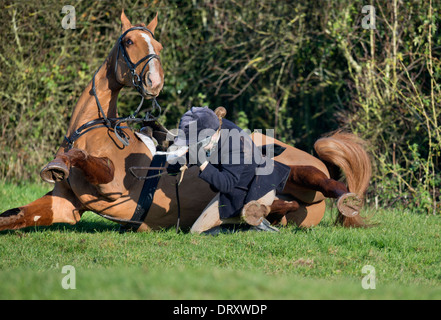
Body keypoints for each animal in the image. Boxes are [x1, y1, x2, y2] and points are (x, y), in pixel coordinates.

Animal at [0, 11, 370, 232]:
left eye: (158, 43)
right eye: (129, 41)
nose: (154, 82)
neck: (94, 130)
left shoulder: (111, 184)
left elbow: (81, 159)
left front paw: (58, 163)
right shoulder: (65, 205)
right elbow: (14, 216)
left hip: (293, 170)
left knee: (324, 182)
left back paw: (348, 201)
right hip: (295, 206)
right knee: (281, 203)